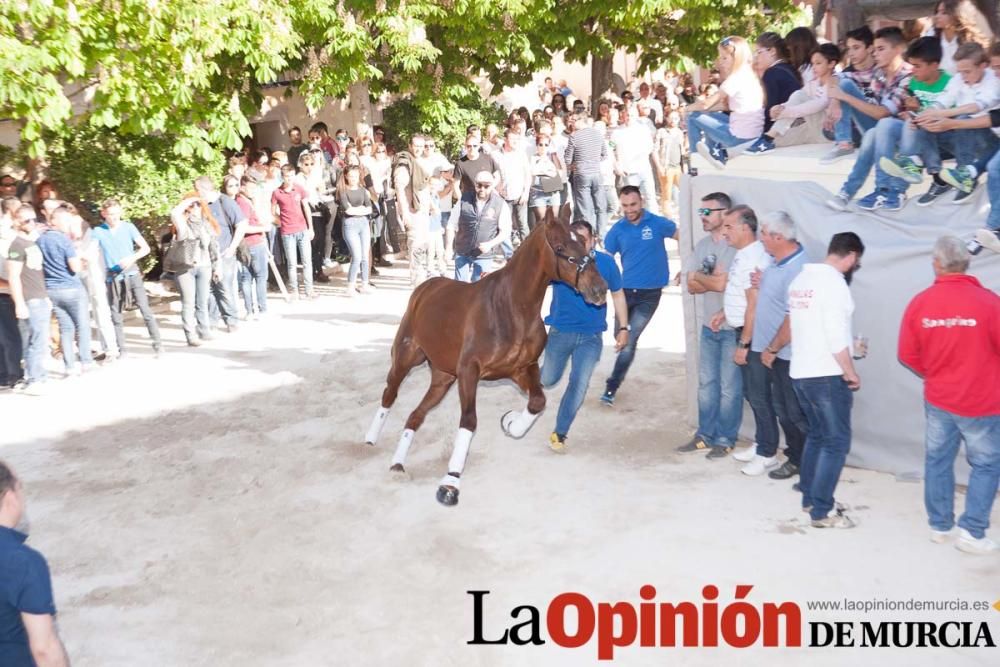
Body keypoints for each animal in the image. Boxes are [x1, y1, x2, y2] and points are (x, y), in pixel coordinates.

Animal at [364, 206, 604, 504]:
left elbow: (537, 401)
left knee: (415, 415)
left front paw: (511, 423)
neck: (511, 308)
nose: (599, 289)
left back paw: (397, 464)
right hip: (406, 358)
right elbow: (469, 421)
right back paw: (371, 438)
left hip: (442, 378)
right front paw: (450, 482)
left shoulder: (522, 368)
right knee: (389, 394)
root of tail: (424, 288)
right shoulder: (470, 372)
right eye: (560, 247)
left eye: (583, 242)